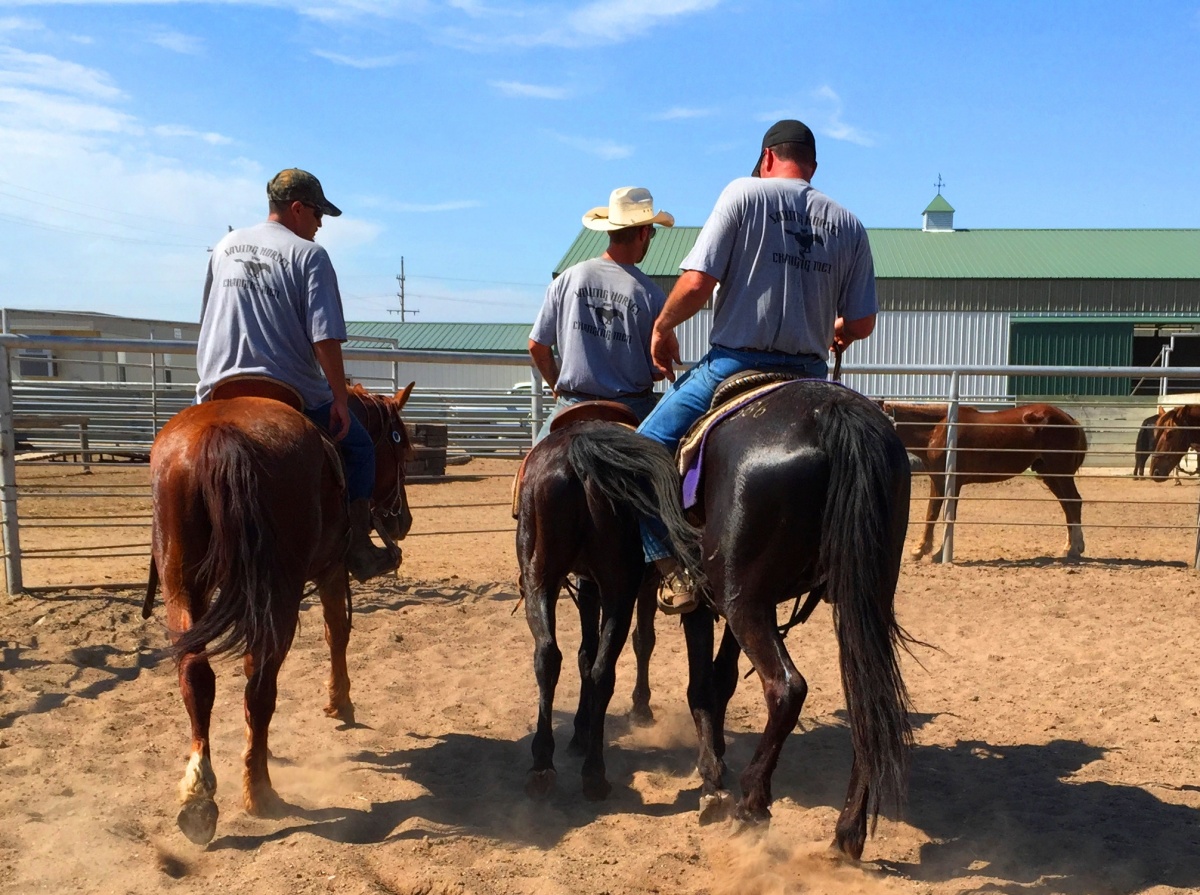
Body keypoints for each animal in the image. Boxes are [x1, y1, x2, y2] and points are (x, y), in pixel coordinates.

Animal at [144, 383, 415, 844]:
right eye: (403, 449)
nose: (404, 521)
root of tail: (218, 435)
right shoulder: (331, 568)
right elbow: (337, 632)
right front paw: (340, 703)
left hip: (182, 587)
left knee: (196, 674)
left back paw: (199, 797)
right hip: (279, 592)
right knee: (259, 684)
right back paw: (260, 792)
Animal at [516, 422, 700, 796]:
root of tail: (578, 455)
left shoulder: (587, 585)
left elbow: (584, 655)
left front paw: (579, 732)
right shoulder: (637, 587)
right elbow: (642, 641)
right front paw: (640, 707)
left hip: (540, 578)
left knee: (548, 656)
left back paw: (542, 763)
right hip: (619, 589)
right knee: (604, 671)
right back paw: (594, 773)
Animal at [883, 398, 1089, 556]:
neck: (939, 430)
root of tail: (1070, 420)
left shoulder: (948, 482)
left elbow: (941, 514)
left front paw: (932, 551)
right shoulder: (939, 480)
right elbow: (934, 512)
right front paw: (925, 549)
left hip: (1061, 473)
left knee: (1073, 502)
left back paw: (1075, 548)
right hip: (1050, 475)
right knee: (1066, 504)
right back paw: (1068, 546)